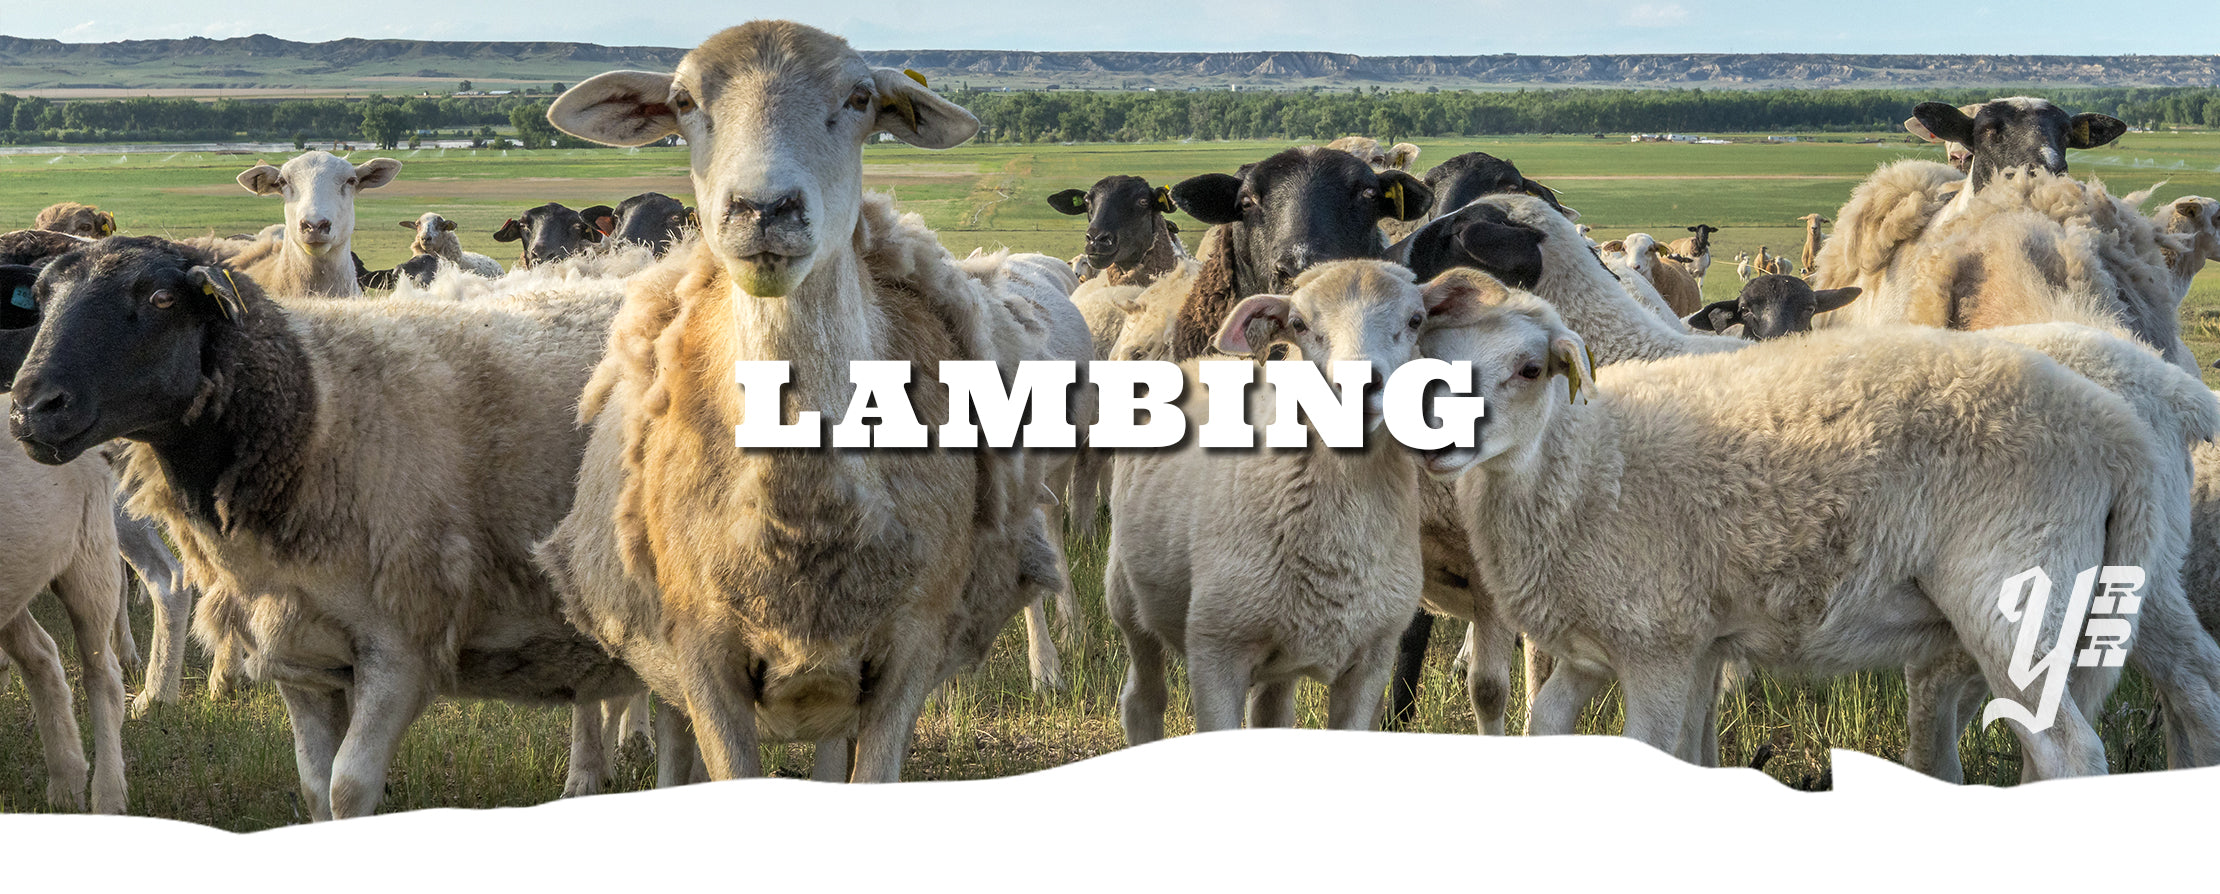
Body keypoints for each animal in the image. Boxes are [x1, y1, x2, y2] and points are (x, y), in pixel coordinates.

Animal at [0, 393, 127, 814]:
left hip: (91, 551)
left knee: (103, 676)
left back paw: (108, 795)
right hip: (18, 571)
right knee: (41, 656)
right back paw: (66, 783)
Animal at [536, 20, 1074, 784]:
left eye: (860, 98)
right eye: (682, 101)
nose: (764, 209)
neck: (805, 515)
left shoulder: (910, 648)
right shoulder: (701, 656)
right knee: (670, 740)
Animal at [1107, 260, 1483, 742]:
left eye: (1416, 320)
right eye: (1300, 324)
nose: (1358, 383)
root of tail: (1200, 361)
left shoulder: (1372, 659)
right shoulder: (1216, 649)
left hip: (1283, 651)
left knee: (1271, 712)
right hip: (1129, 598)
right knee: (1143, 697)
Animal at [1420, 288, 2220, 777]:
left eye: (1530, 369)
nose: (1440, 443)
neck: (1582, 462)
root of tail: (2121, 437)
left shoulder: (1659, 641)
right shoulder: (1614, 644)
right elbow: (1553, 730)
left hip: (2016, 591)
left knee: (2072, 752)